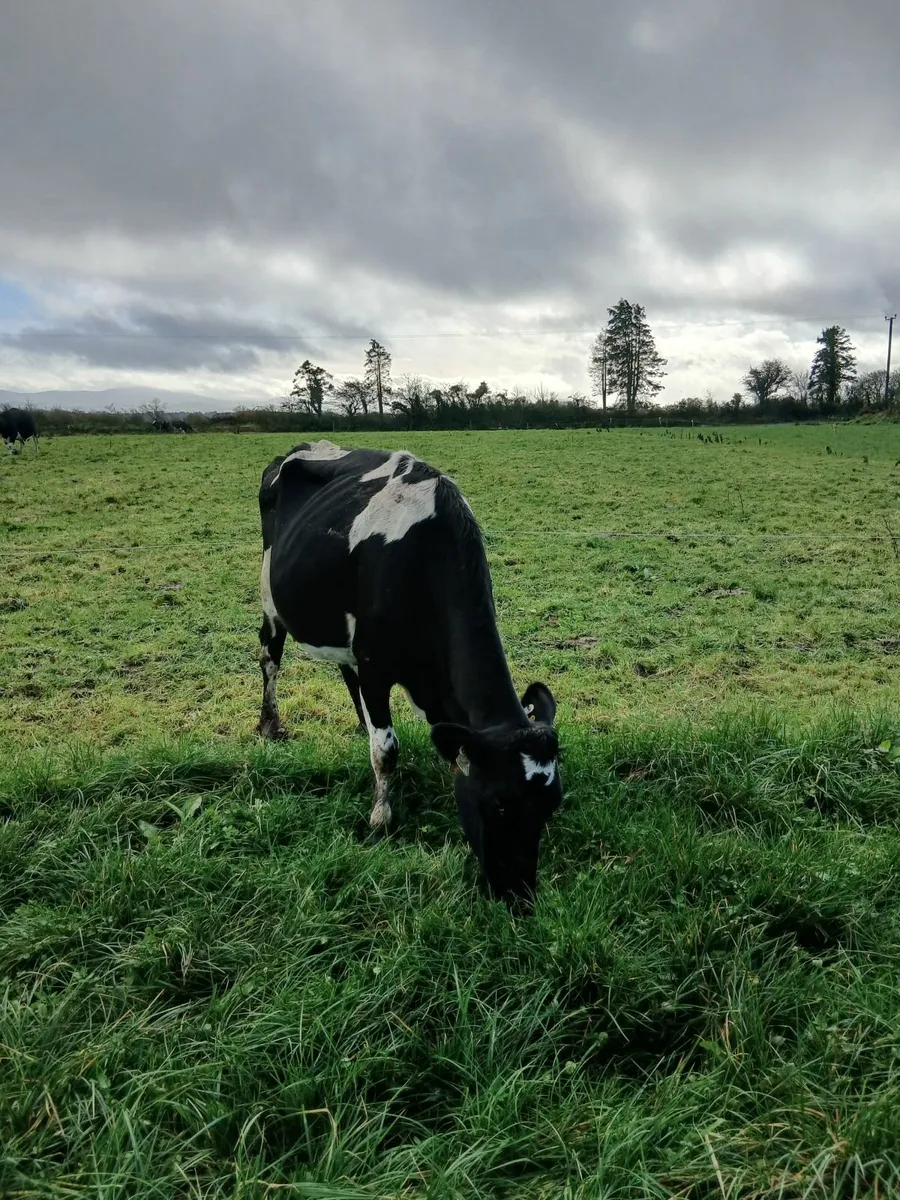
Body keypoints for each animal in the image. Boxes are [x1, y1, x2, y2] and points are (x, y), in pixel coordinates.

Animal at [256, 440, 562, 908]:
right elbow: (386, 749)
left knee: (346, 677)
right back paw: (269, 724)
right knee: (269, 656)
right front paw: (380, 821)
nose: (520, 896)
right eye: (499, 803)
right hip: (271, 592)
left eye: (551, 806)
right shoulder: (375, 665)